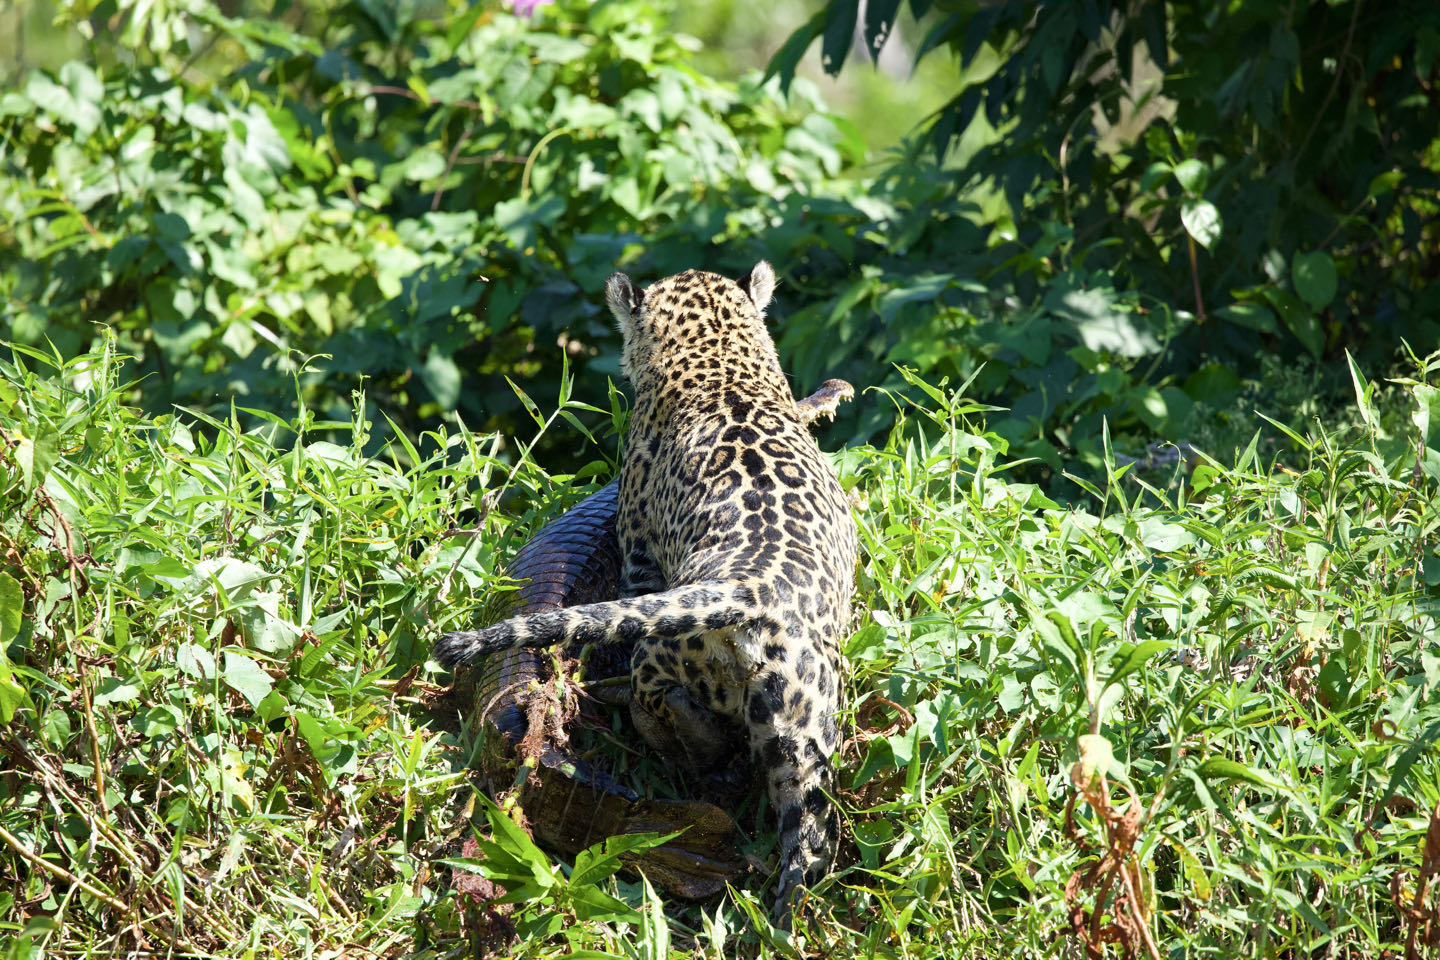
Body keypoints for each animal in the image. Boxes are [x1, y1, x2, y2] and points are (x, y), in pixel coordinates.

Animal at [435, 261, 858, 924]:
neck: (722, 362)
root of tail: (752, 589)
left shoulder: (636, 551)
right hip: (806, 728)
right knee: (809, 844)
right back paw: (781, 925)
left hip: (665, 650)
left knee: (659, 699)